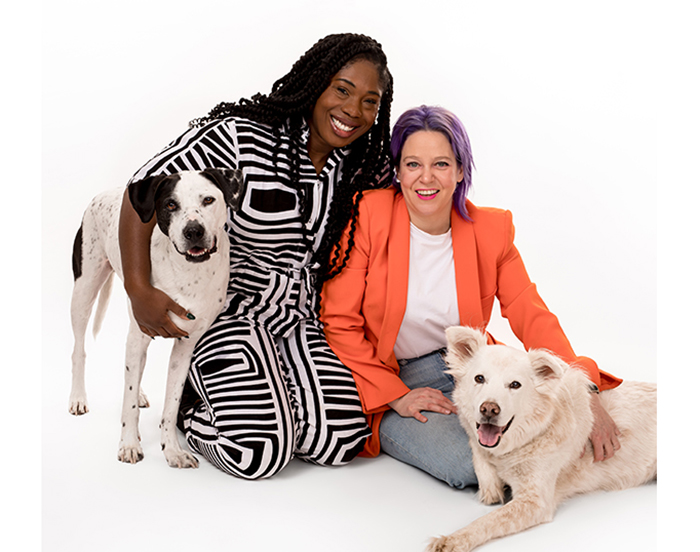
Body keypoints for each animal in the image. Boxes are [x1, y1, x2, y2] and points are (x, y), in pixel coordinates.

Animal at [68, 167, 243, 466]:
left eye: (208, 200)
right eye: (170, 205)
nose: (193, 231)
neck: (188, 273)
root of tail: (108, 191)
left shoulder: (185, 346)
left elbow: (171, 405)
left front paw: (172, 450)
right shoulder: (141, 331)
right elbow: (127, 406)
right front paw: (128, 445)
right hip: (84, 290)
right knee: (79, 350)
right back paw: (78, 398)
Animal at [426, 326, 656, 548]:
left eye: (515, 385)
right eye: (479, 379)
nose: (489, 409)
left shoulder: (535, 501)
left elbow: (489, 520)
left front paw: (452, 540)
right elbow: (479, 454)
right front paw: (491, 487)